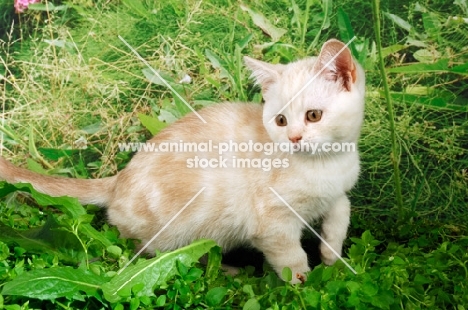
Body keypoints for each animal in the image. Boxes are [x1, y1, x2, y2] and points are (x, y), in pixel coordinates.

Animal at [0, 38, 366, 284]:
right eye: (279, 120)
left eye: (313, 115)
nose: (293, 138)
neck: (325, 165)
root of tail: (118, 179)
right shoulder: (272, 222)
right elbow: (290, 257)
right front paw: (305, 284)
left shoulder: (339, 192)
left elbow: (341, 215)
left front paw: (332, 255)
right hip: (176, 233)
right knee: (162, 254)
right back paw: (227, 270)